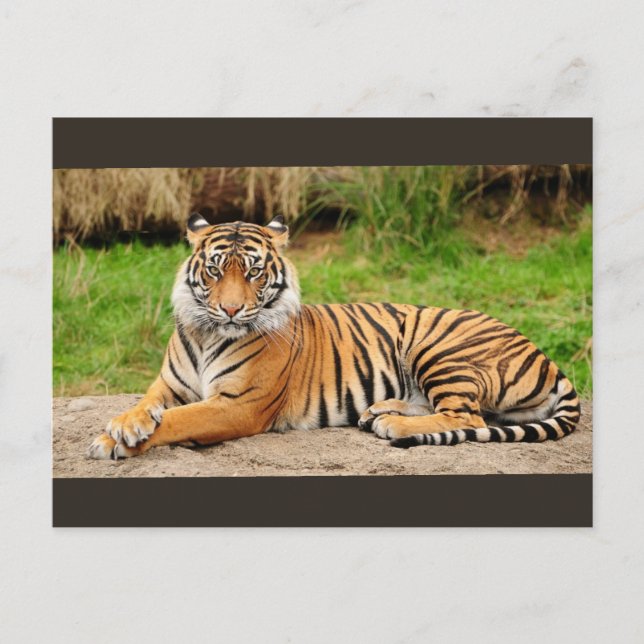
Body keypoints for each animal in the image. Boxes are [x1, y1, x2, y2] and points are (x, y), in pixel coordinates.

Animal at [88, 213, 581, 460]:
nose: (230, 309)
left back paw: (392, 423)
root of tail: (546, 357)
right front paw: (122, 426)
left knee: (467, 416)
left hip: (438, 346)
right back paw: (378, 410)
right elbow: (147, 406)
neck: (209, 333)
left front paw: (116, 442)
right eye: (214, 270)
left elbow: (179, 420)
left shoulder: (239, 404)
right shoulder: (168, 385)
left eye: (253, 272)